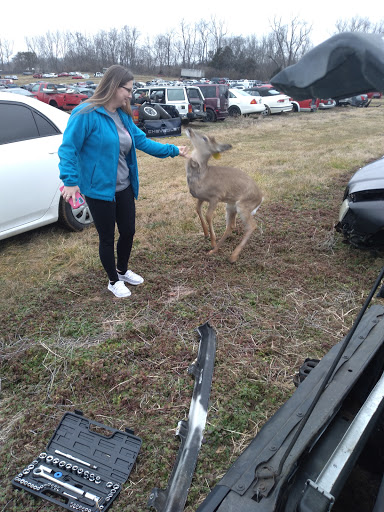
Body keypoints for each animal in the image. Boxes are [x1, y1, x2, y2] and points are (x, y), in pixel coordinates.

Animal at [184, 128, 262, 264]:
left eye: (205, 138)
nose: (189, 129)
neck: (202, 175)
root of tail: (261, 197)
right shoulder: (201, 197)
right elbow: (197, 209)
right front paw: (206, 234)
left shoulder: (216, 196)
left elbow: (208, 215)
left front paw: (212, 240)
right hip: (230, 206)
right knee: (230, 227)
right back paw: (214, 251)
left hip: (243, 205)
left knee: (251, 226)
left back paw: (232, 256)